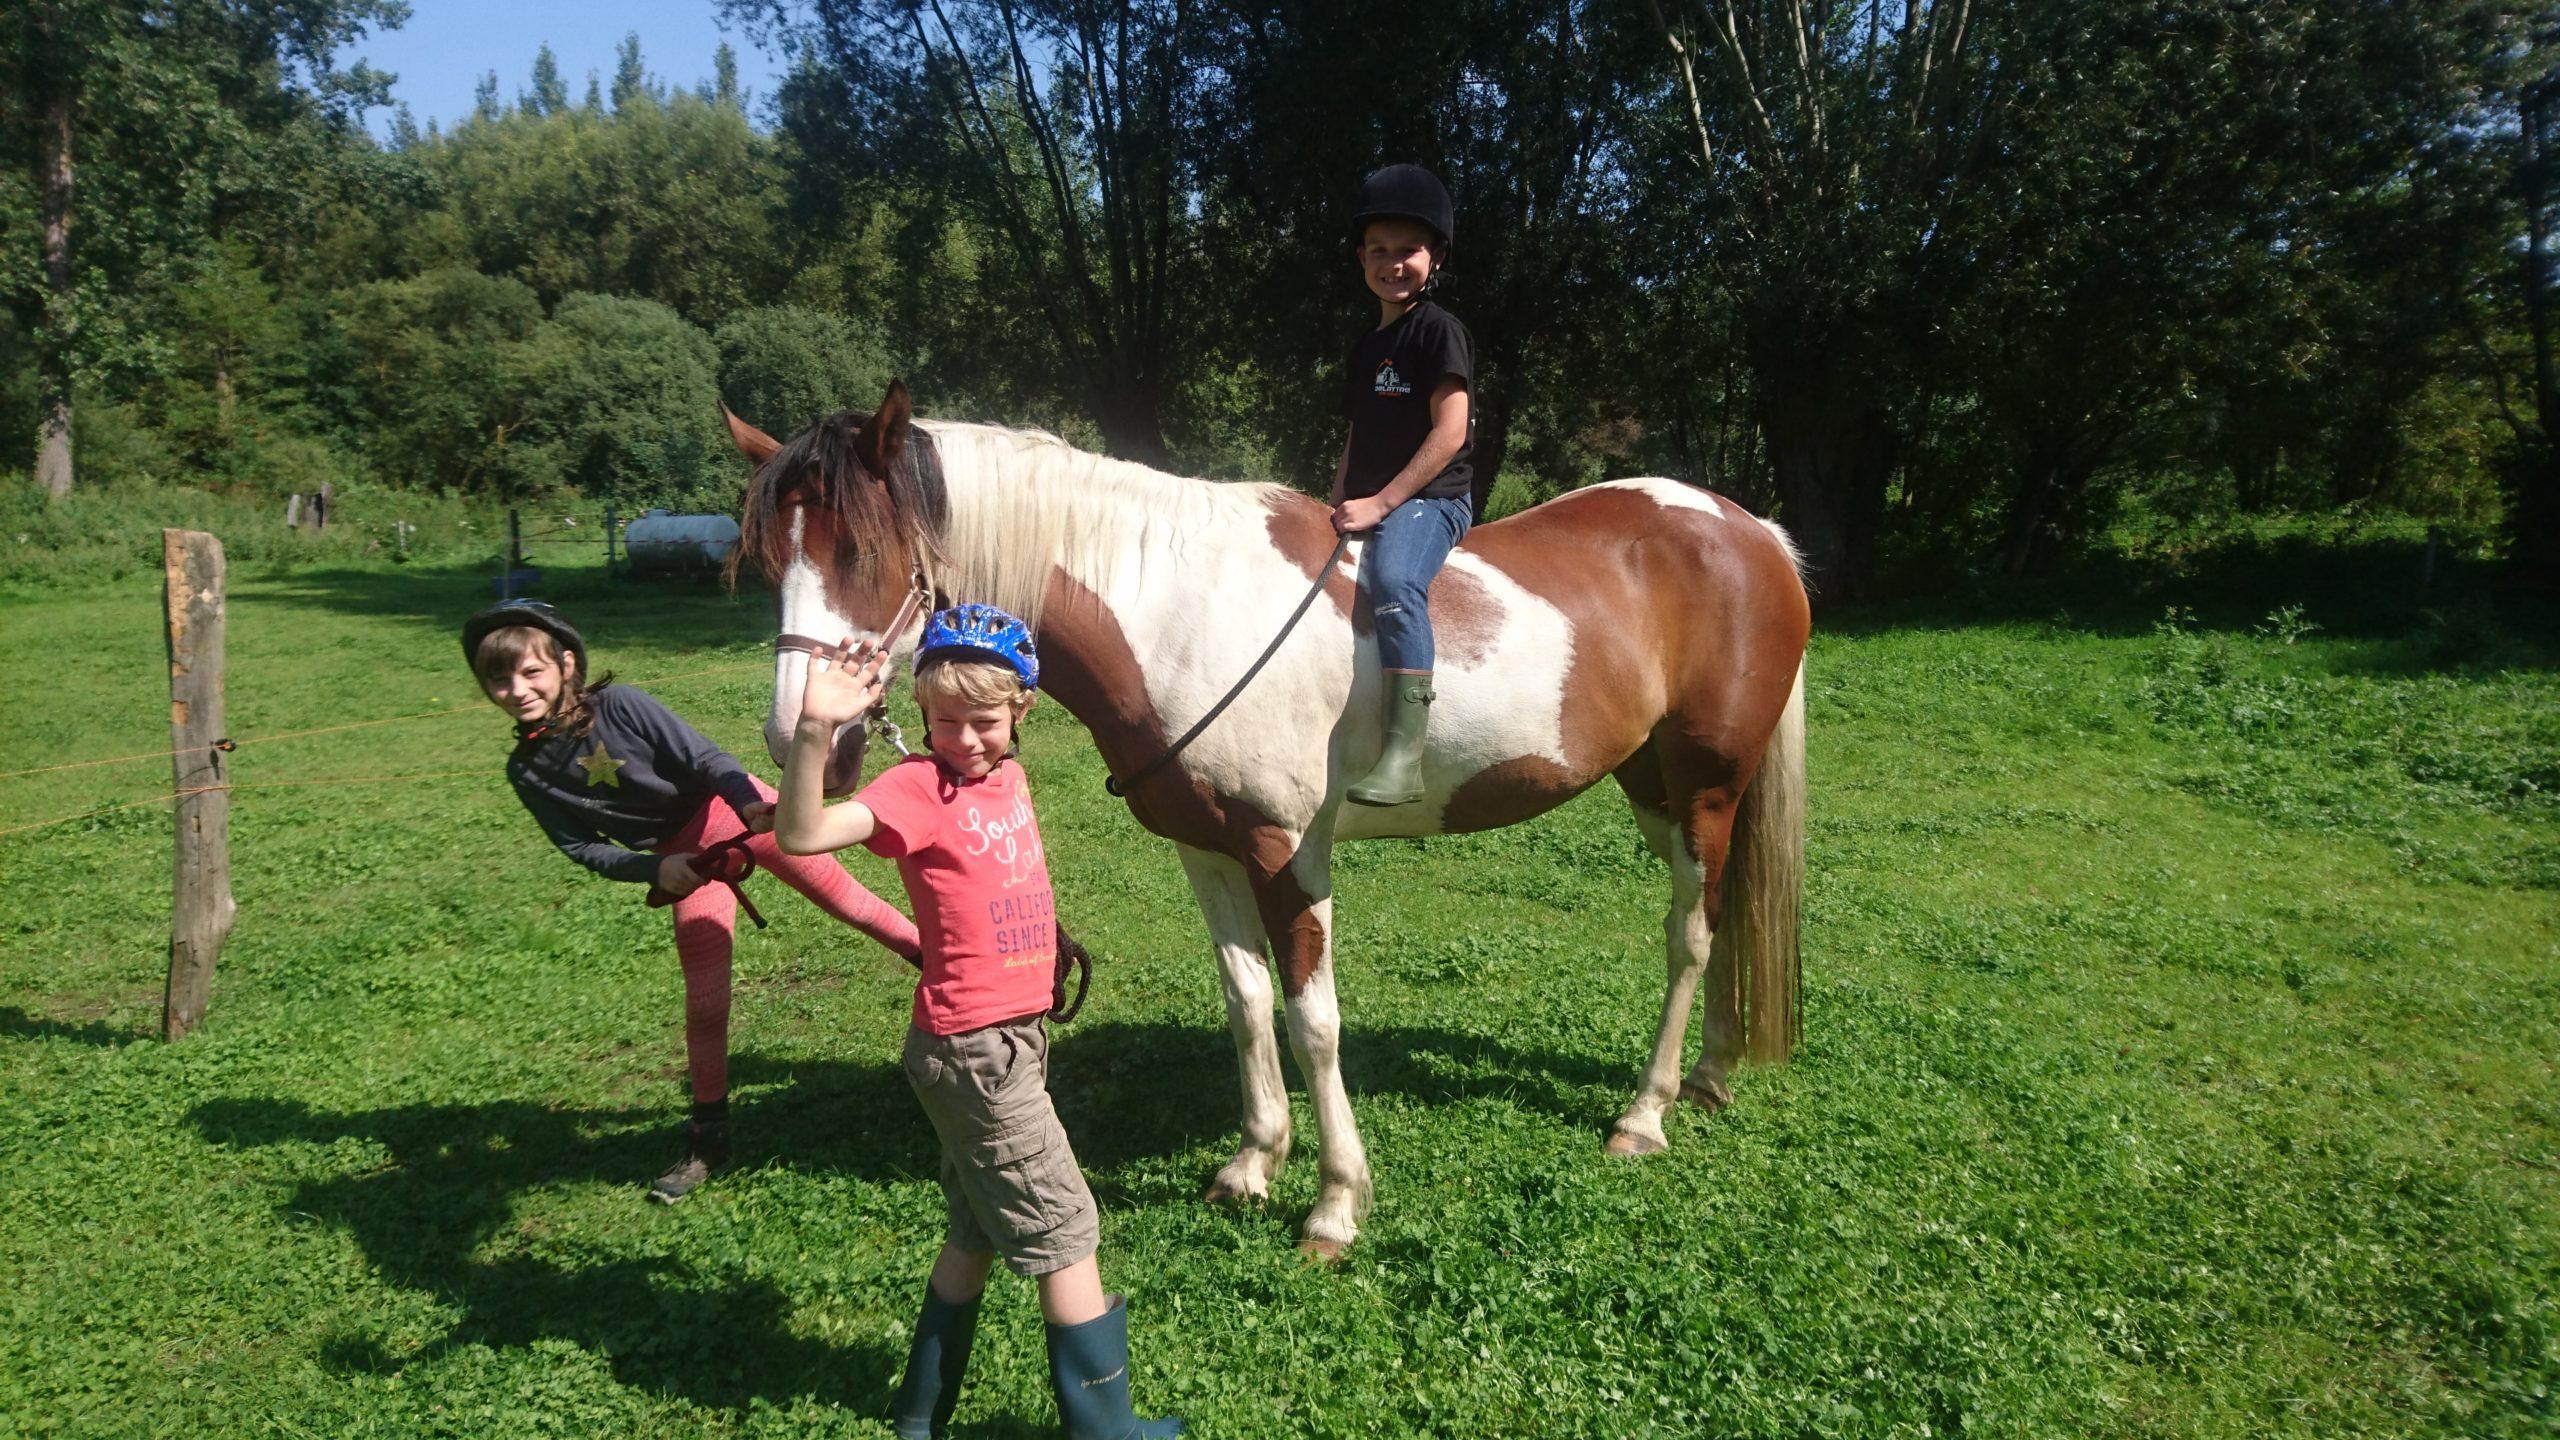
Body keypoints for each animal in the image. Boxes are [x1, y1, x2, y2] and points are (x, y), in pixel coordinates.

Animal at [727, 382, 1809, 1258]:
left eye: (862, 549)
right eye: (767, 557)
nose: (798, 737)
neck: (1174, 612)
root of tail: (1751, 529)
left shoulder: (1288, 851)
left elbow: (1312, 1019)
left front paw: (1334, 1204)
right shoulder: (1206, 850)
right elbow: (1246, 1001)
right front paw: (1254, 1163)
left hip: (1704, 785)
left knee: (1690, 933)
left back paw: (1646, 1113)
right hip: (1653, 787)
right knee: (1719, 921)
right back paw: (1710, 1076)